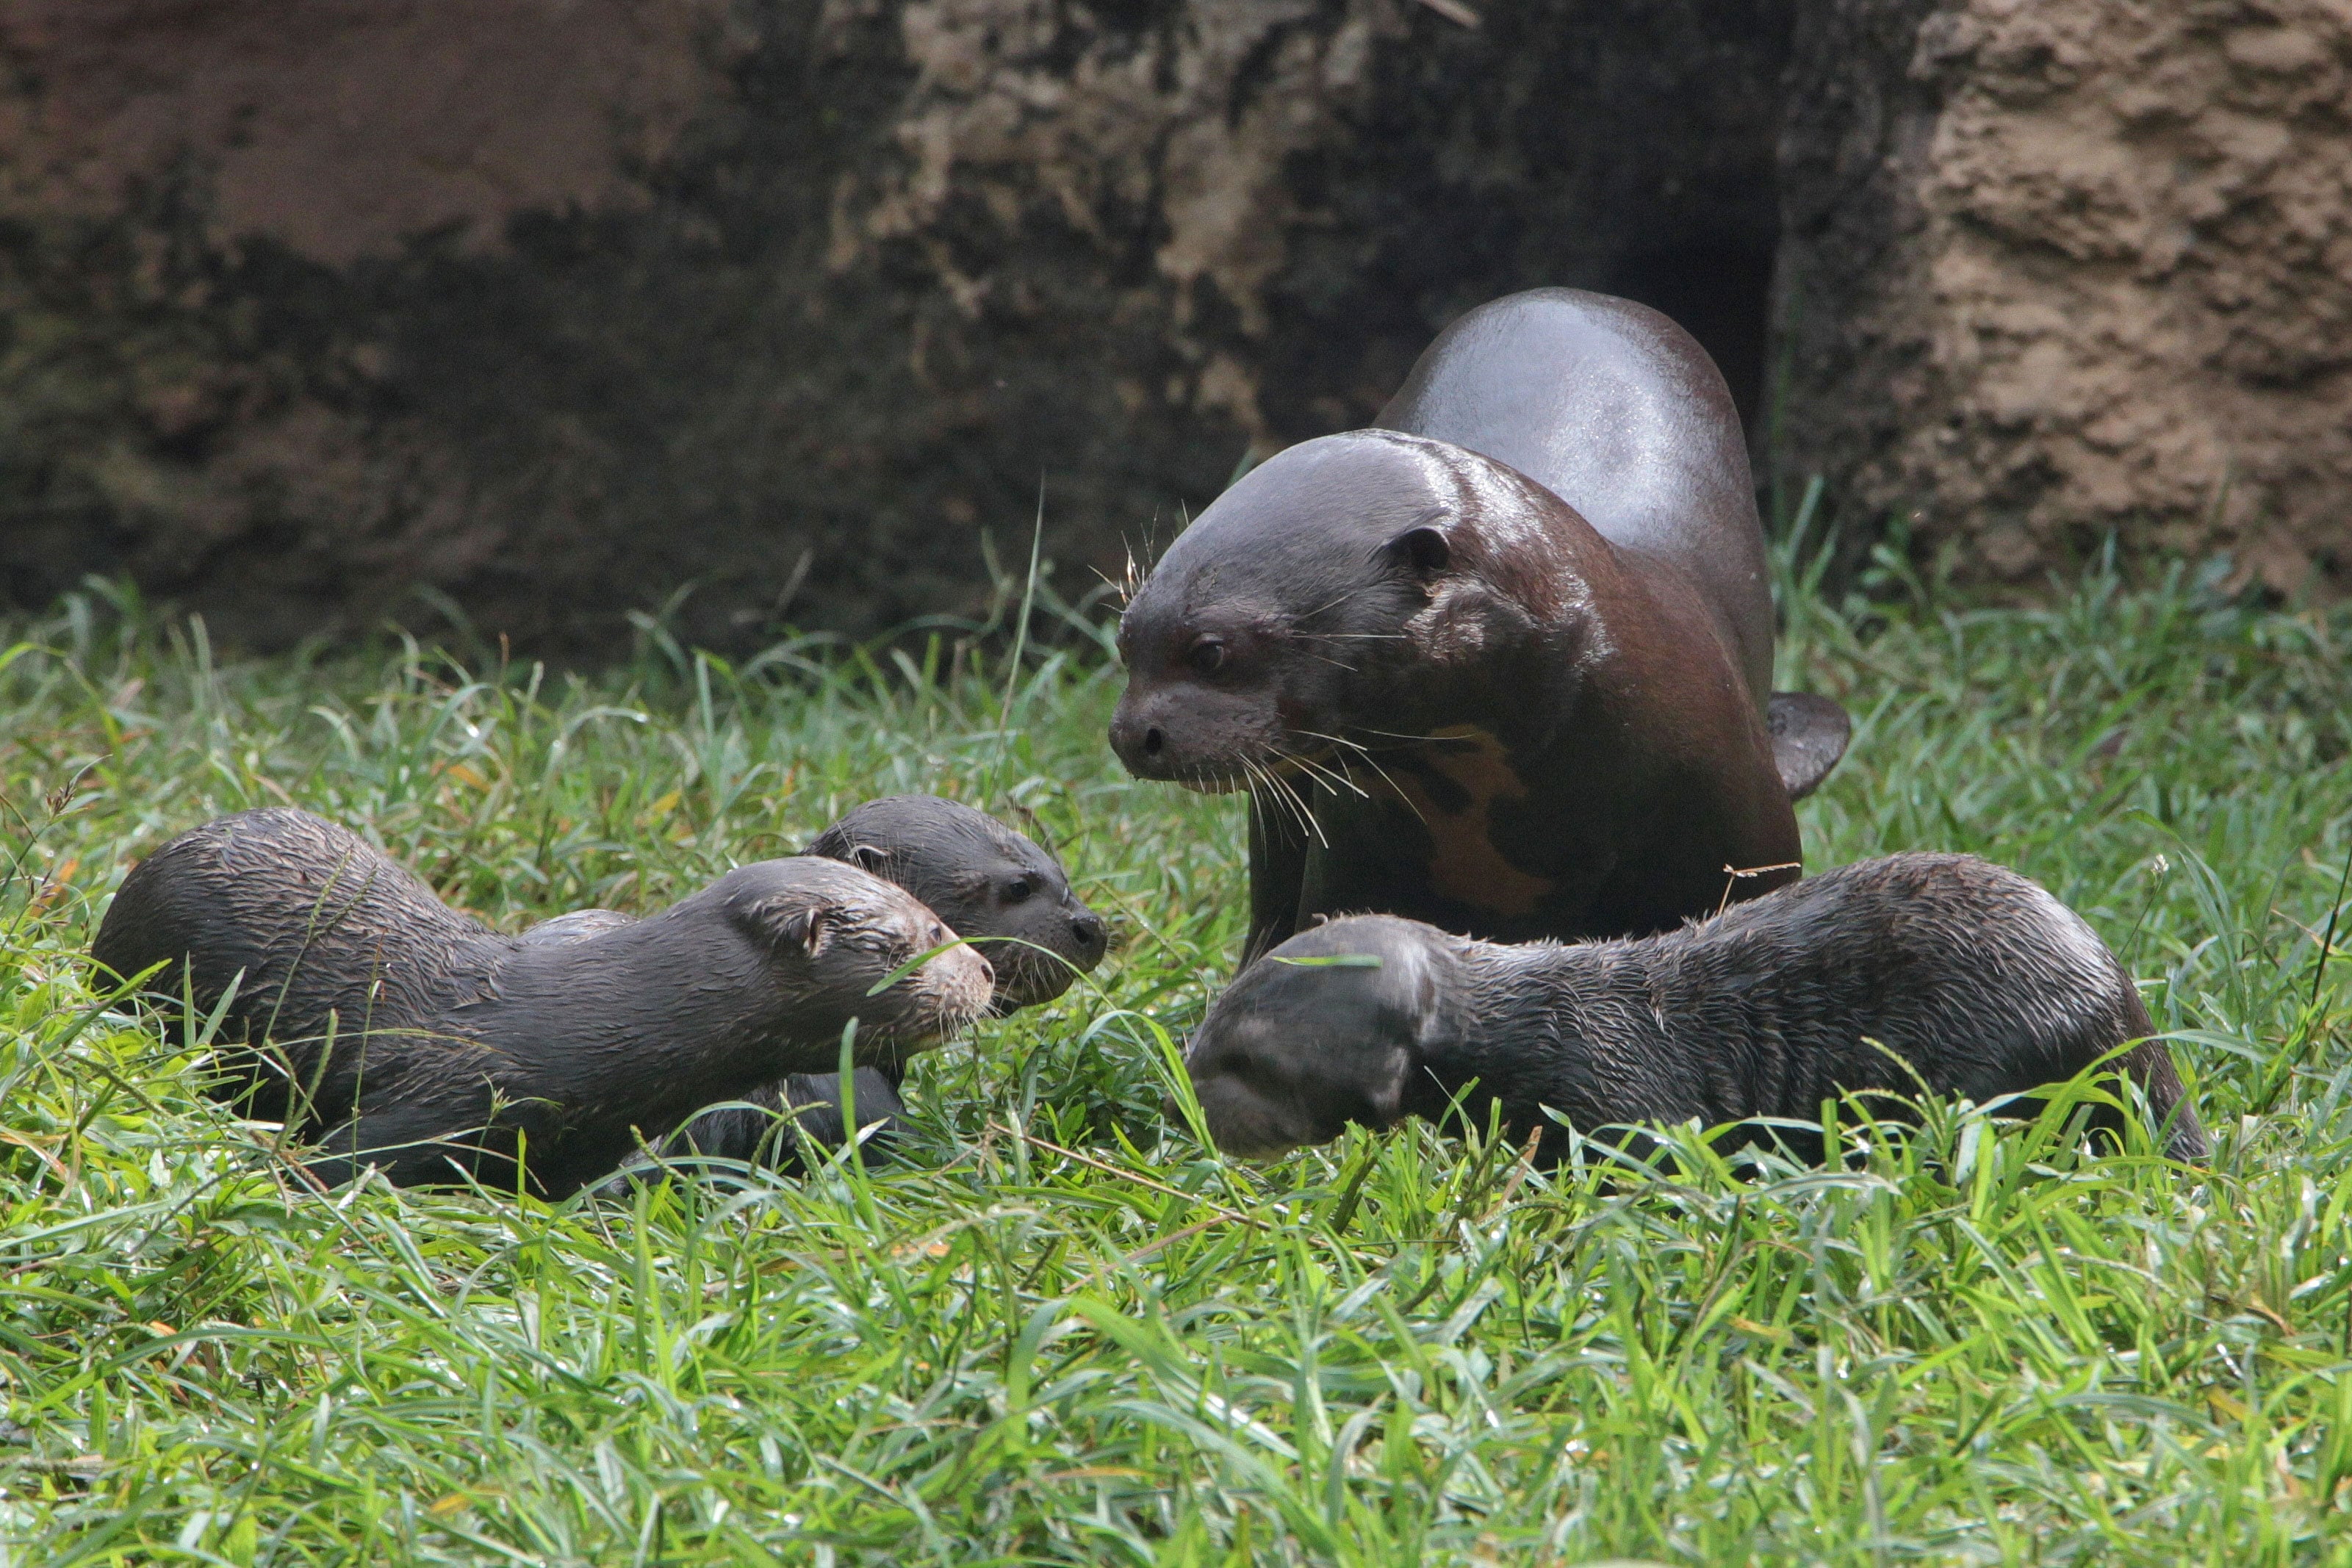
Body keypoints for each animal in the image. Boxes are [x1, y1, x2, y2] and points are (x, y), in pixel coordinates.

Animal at [1185, 860, 2210, 1165]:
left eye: (1248, 1055)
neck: (1533, 1028)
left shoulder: (1619, 1106)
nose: (1190, 1087)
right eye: (1216, 1015)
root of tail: (2119, 1005)